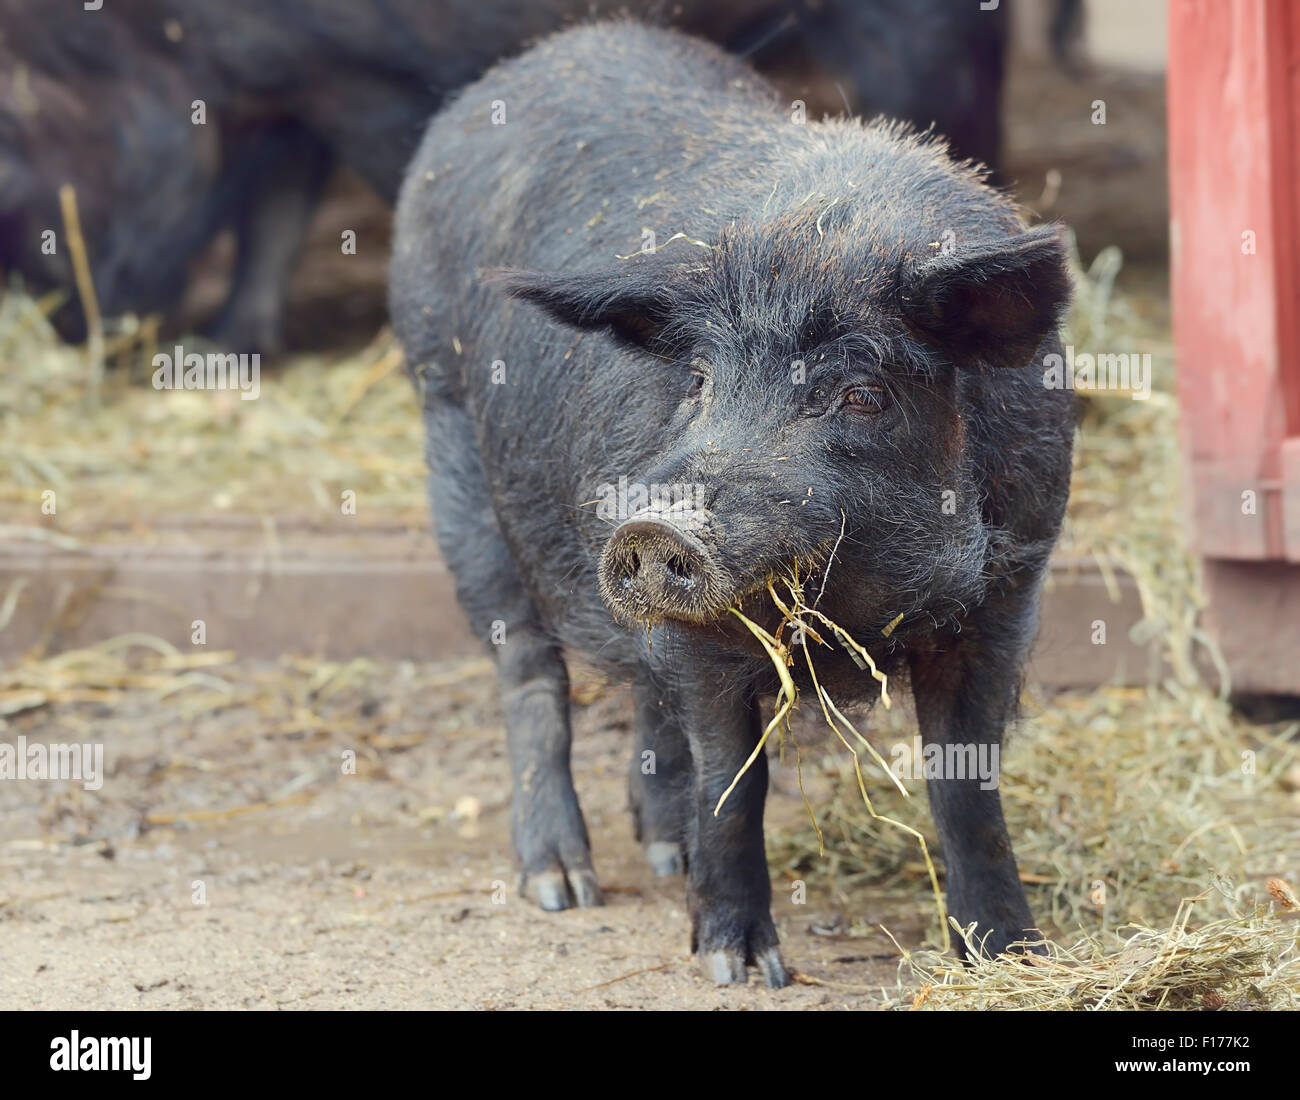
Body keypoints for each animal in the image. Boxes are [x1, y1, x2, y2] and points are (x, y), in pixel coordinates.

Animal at [387, 17, 1076, 988]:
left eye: (860, 394)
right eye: (701, 380)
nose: (650, 525)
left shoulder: (1008, 590)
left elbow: (966, 782)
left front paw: (1011, 955)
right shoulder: (707, 636)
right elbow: (734, 780)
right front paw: (739, 967)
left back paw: (661, 851)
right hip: (449, 438)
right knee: (527, 669)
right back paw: (562, 886)